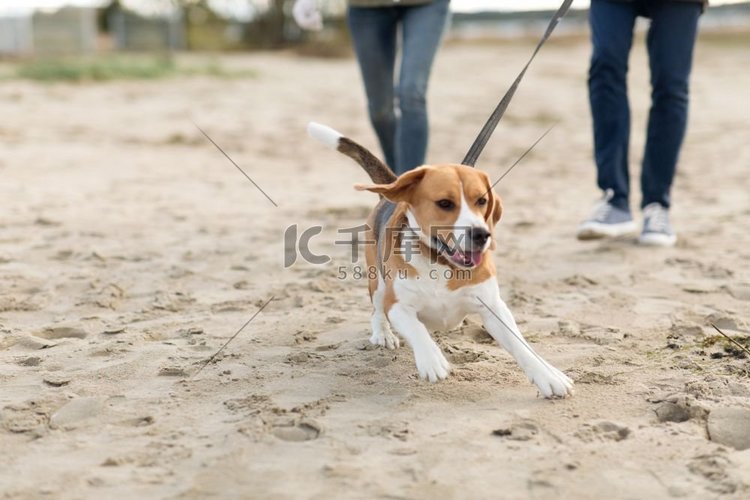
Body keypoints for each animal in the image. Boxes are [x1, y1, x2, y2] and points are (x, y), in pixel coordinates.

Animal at [308, 122, 572, 398]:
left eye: (482, 200)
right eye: (445, 203)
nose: (481, 234)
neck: (441, 262)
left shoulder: (493, 307)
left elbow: (521, 346)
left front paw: (548, 376)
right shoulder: (397, 305)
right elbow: (417, 330)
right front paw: (432, 359)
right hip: (377, 283)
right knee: (376, 310)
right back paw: (383, 334)